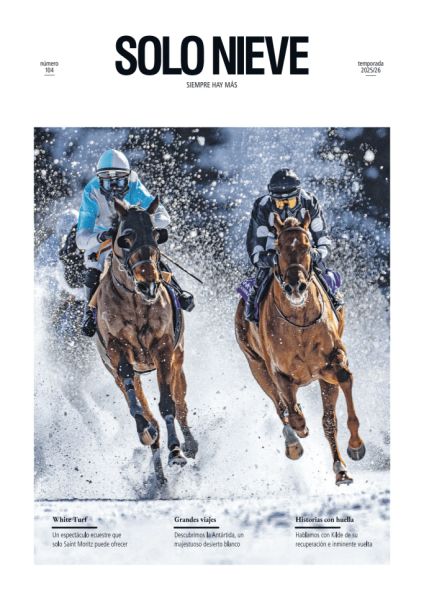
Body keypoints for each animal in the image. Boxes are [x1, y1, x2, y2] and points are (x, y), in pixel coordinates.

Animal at [94, 198, 198, 485]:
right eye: (125, 238)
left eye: (155, 233)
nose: (148, 282)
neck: (134, 302)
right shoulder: (118, 353)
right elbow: (138, 409)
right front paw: (145, 430)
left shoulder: (163, 350)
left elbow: (168, 404)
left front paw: (176, 452)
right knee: (146, 411)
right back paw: (159, 473)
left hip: (178, 360)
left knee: (181, 403)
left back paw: (188, 445)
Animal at [235, 212, 365, 485]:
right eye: (278, 248)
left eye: (307, 246)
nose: (296, 286)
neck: (299, 323)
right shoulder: (279, 372)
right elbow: (292, 412)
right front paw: (300, 431)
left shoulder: (328, 365)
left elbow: (343, 382)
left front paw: (356, 446)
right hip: (256, 367)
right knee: (281, 407)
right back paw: (294, 443)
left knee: (325, 419)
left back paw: (340, 468)